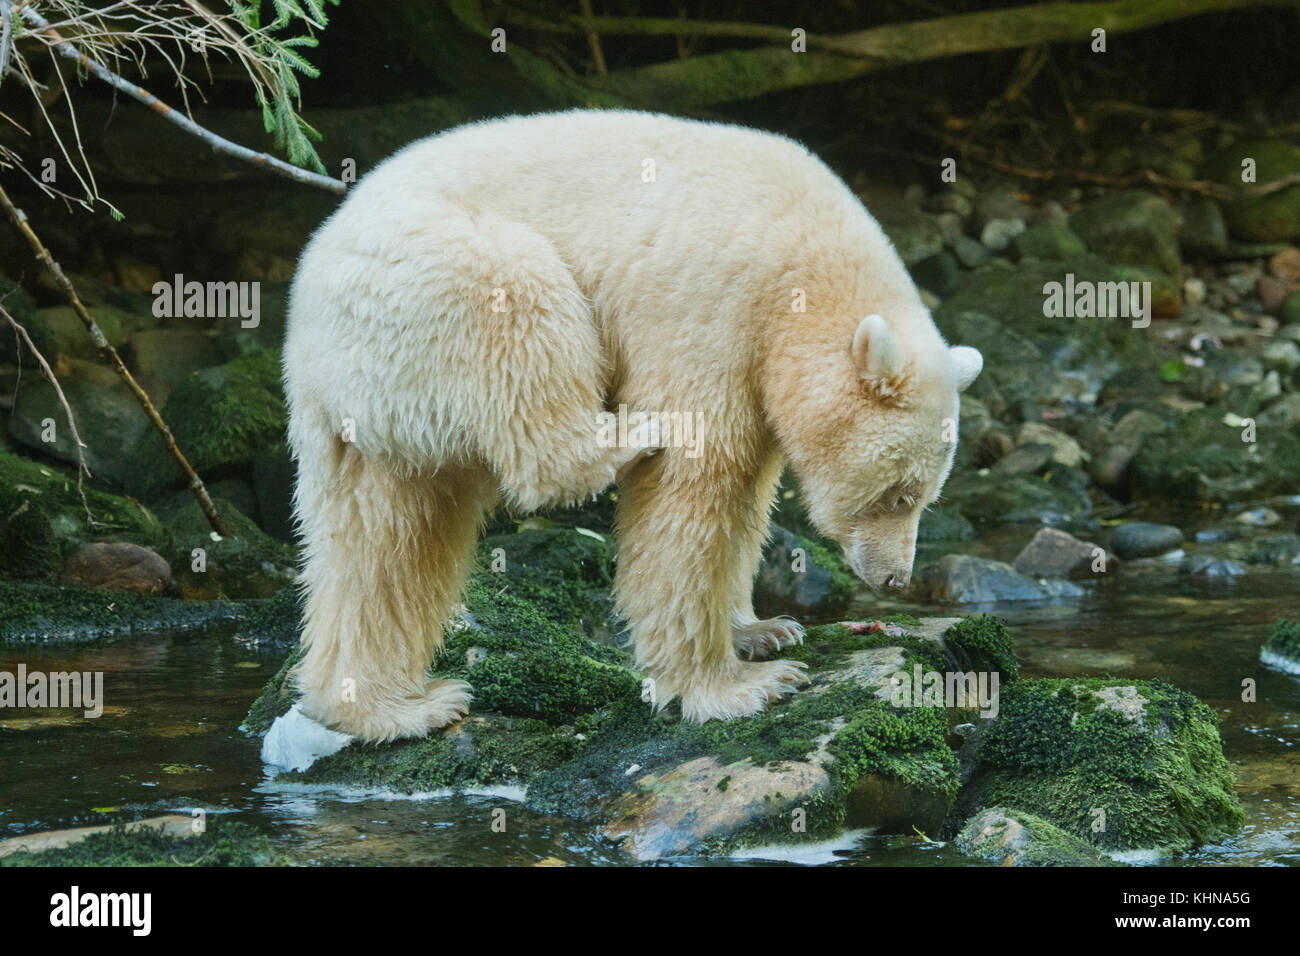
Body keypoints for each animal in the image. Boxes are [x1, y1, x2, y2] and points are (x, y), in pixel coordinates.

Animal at [282, 110, 977, 738]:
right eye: (901, 494)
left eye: (925, 498)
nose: (895, 577)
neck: (804, 267)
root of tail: (302, 325)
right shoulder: (714, 306)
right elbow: (697, 486)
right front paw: (735, 687)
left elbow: (748, 496)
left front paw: (764, 631)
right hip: (432, 282)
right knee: (518, 298)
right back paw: (619, 439)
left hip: (378, 401)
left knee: (384, 538)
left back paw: (388, 706)